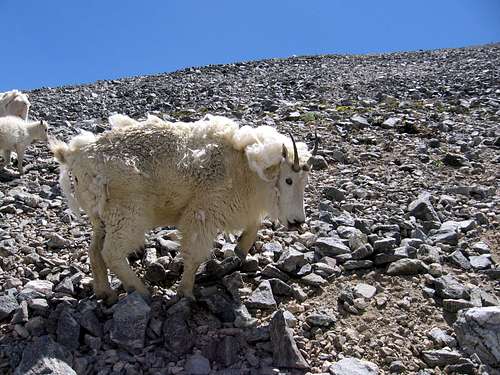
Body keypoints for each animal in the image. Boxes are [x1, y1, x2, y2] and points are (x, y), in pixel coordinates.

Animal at [50, 115, 316, 306]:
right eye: (288, 180)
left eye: (305, 181)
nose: (297, 222)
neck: (245, 168)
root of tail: (74, 155)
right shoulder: (204, 211)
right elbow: (195, 254)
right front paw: (186, 292)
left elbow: (253, 228)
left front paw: (239, 250)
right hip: (127, 214)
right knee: (112, 252)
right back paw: (141, 291)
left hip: (100, 216)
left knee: (94, 251)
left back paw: (106, 293)